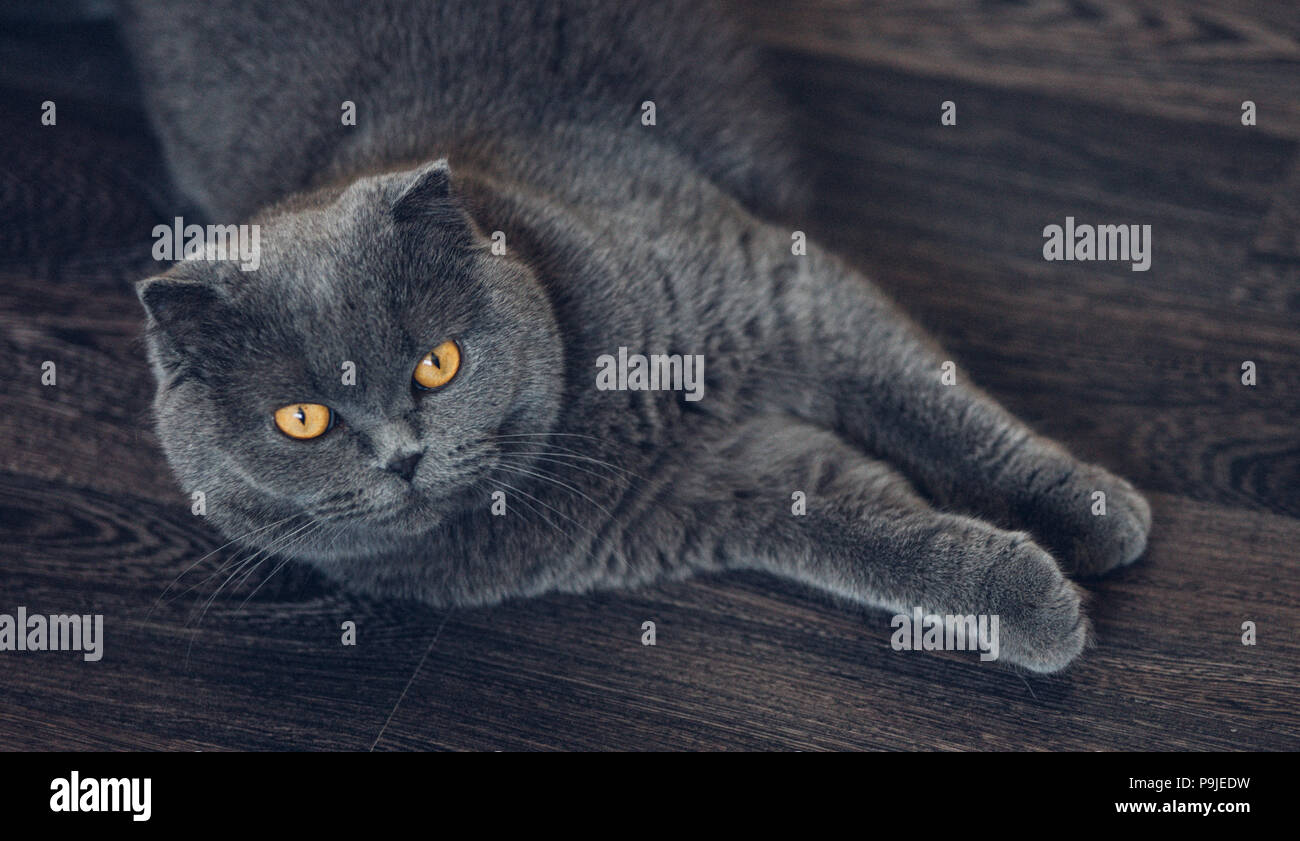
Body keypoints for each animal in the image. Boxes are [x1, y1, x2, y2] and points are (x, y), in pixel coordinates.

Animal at [126, 0, 1154, 670]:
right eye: (302, 420)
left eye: (438, 363)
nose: (402, 456)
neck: (610, 417)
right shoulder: (710, 489)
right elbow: (872, 530)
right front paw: (1030, 600)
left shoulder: (785, 291)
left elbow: (939, 410)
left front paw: (1091, 510)